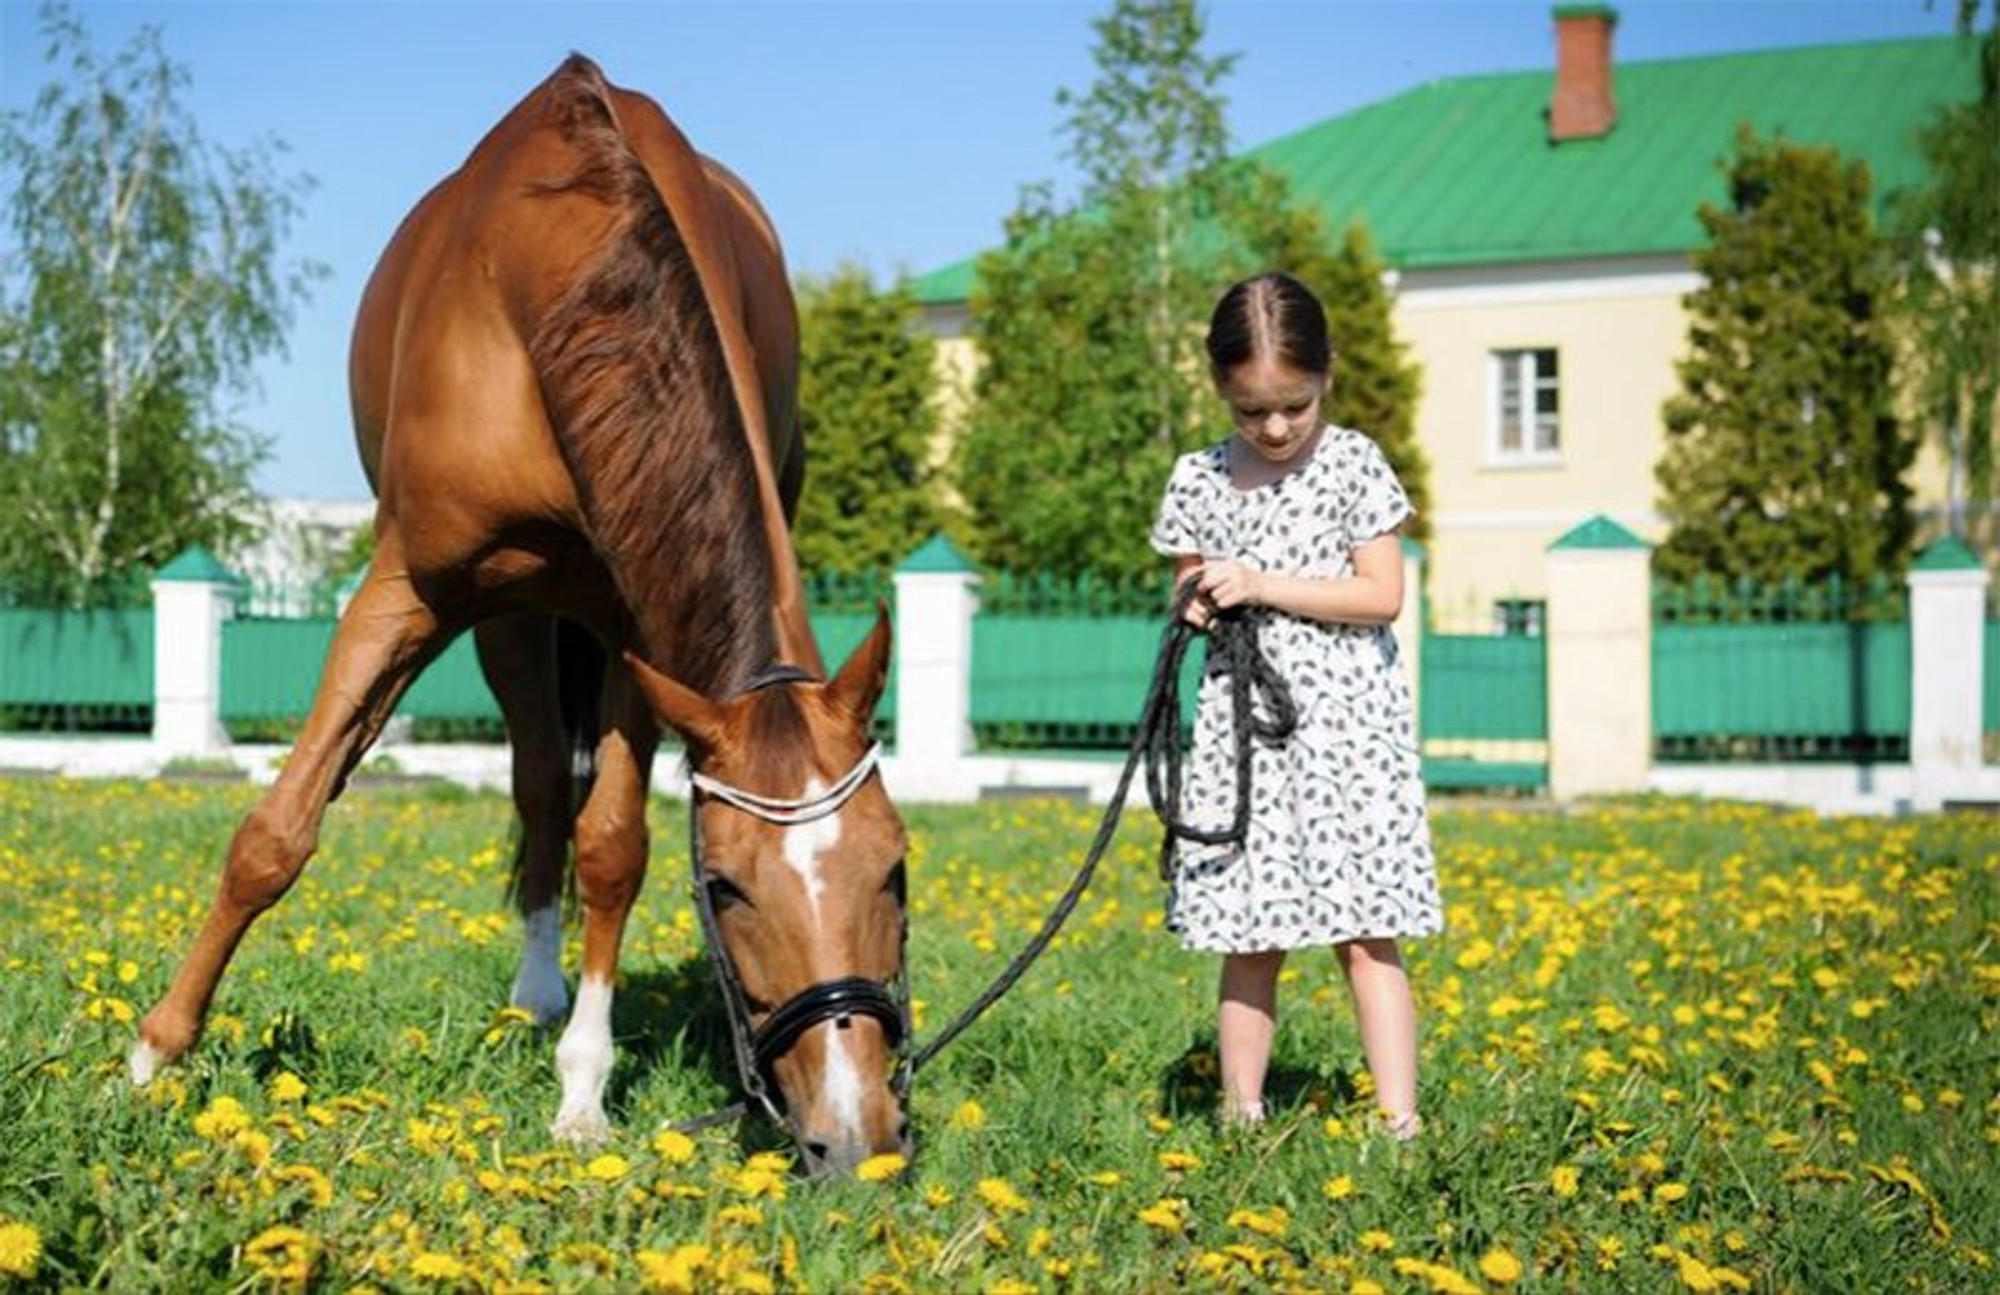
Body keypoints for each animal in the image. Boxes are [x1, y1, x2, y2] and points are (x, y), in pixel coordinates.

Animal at [139, 55, 916, 1175]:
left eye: (894, 867)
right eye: (725, 887)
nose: (859, 1138)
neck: (569, 272)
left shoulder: (640, 628)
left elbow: (615, 846)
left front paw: (583, 1091)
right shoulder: (404, 590)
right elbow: (274, 831)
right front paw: (154, 1050)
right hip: (508, 620)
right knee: (541, 777)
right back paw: (534, 990)